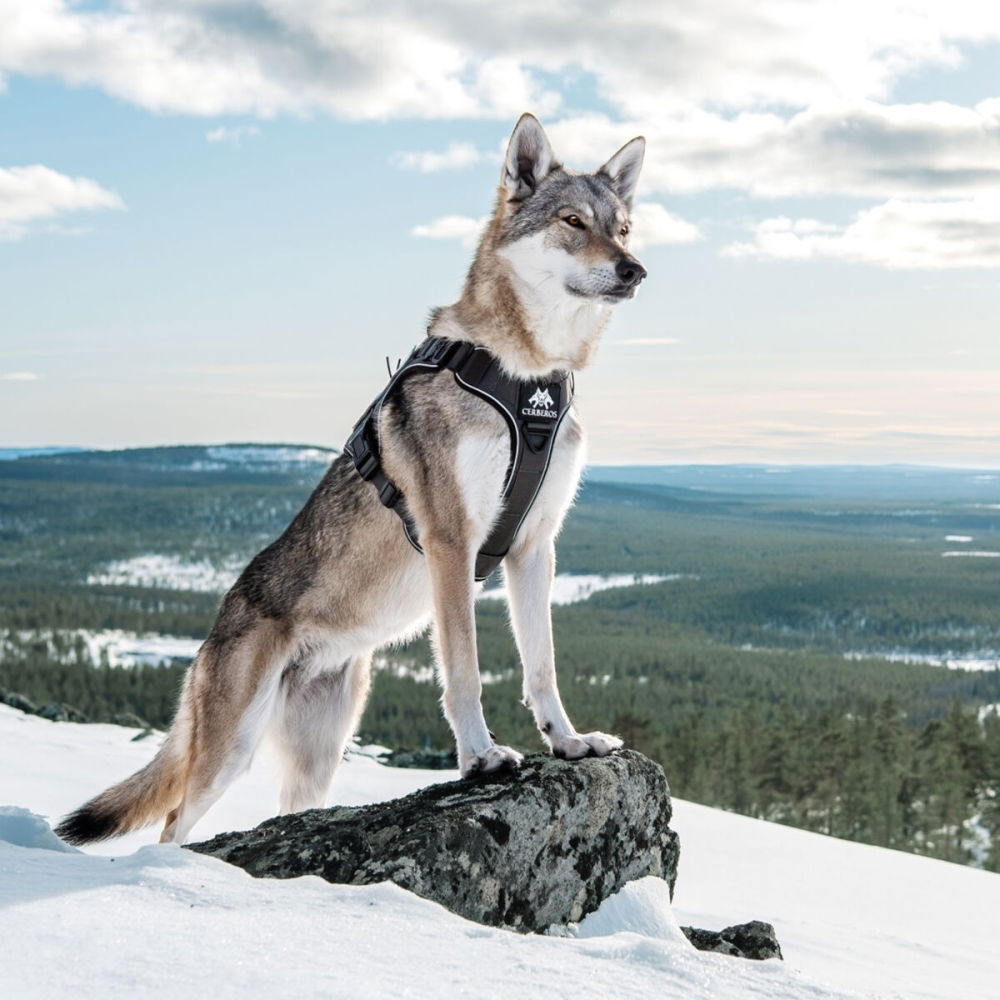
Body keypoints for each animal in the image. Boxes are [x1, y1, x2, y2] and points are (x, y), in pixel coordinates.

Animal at [56, 111, 648, 844]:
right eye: (572, 221)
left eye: (622, 227)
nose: (634, 270)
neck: (527, 379)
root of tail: (210, 634)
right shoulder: (453, 541)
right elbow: (465, 671)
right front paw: (480, 758)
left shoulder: (535, 546)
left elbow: (542, 667)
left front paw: (566, 742)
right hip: (231, 751)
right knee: (171, 822)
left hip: (317, 761)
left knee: (283, 813)